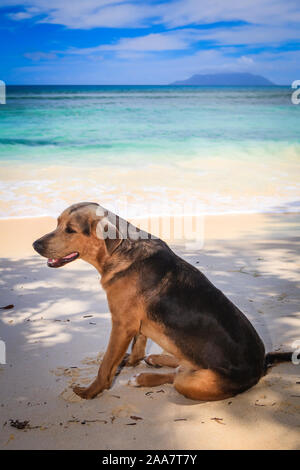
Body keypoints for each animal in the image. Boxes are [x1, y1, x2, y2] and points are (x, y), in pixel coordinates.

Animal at [32, 202, 292, 400]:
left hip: (196, 382)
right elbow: (137, 347)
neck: (121, 252)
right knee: (178, 367)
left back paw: (144, 377)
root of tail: (262, 365)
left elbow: (105, 366)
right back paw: (155, 360)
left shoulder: (121, 325)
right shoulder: (134, 325)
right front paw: (131, 362)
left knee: (177, 377)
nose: (34, 244)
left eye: (70, 230)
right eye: (57, 223)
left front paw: (89, 392)